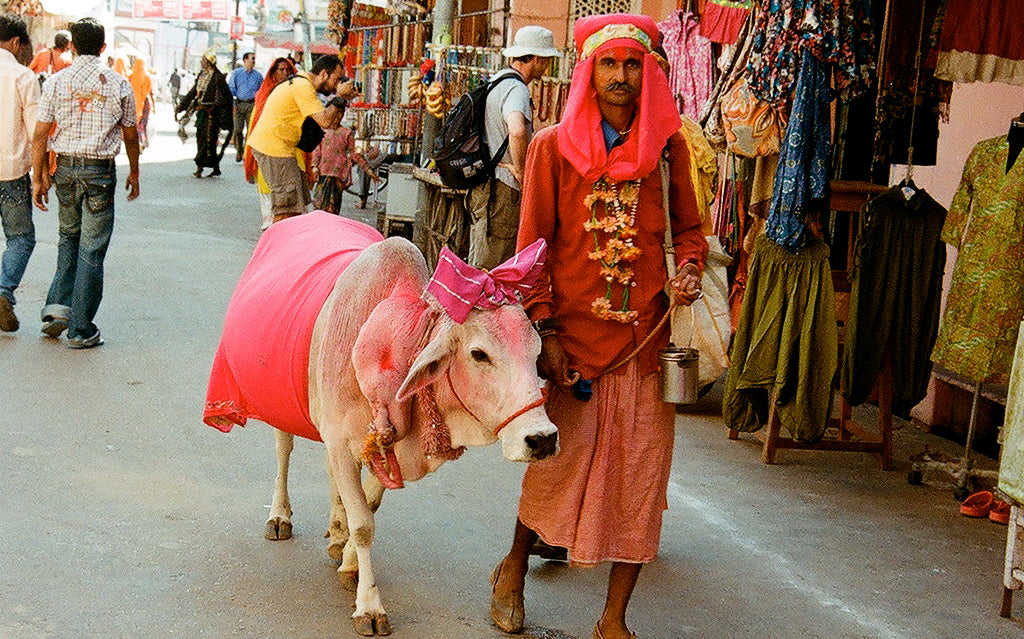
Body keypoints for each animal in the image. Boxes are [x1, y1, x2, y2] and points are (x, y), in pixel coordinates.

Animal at [204, 216, 557, 639]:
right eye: (479, 354)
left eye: (536, 351)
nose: (542, 439)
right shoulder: (341, 438)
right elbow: (364, 525)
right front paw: (368, 606)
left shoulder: (374, 444)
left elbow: (367, 505)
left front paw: (348, 560)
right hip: (282, 405)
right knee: (283, 451)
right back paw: (280, 516)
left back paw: (335, 530)